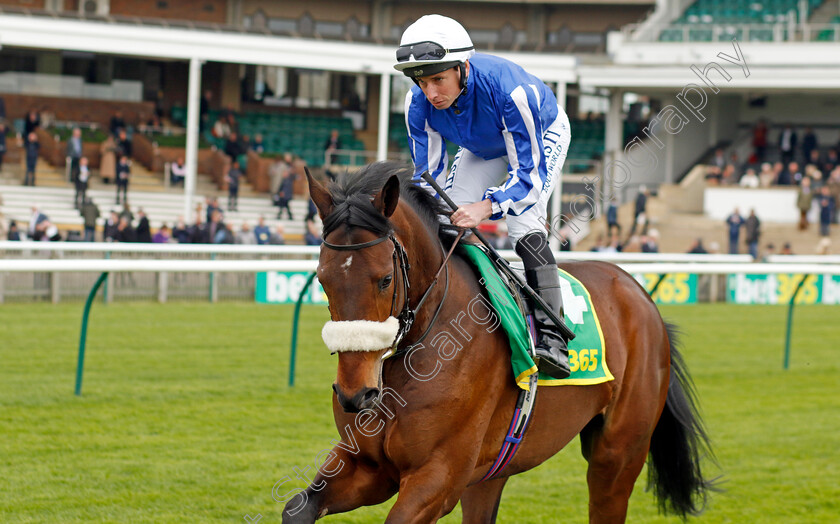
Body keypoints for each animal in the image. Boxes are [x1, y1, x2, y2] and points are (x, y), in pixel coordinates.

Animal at [284, 162, 716, 520]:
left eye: (385, 279)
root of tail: (641, 296)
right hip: (491, 472)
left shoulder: (438, 477)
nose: (356, 394)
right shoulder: (368, 466)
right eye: (322, 278)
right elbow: (297, 507)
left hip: (617, 454)